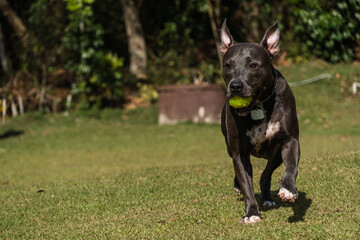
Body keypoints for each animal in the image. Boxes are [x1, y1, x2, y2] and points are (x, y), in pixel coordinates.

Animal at [219, 20, 300, 223]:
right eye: (228, 65)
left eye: (253, 65)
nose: (235, 86)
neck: (258, 106)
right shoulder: (239, 153)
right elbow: (246, 184)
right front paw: (251, 213)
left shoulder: (290, 140)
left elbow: (291, 167)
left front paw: (288, 189)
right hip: (229, 147)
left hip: (275, 154)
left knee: (265, 175)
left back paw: (267, 198)